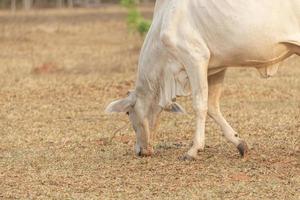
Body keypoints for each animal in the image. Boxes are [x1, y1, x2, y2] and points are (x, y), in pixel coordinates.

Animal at [105, 0, 300, 159]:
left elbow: (200, 105)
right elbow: (212, 106)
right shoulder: (216, 67)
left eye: (128, 112)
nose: (140, 151)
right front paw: (239, 143)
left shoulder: (195, 58)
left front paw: (193, 150)